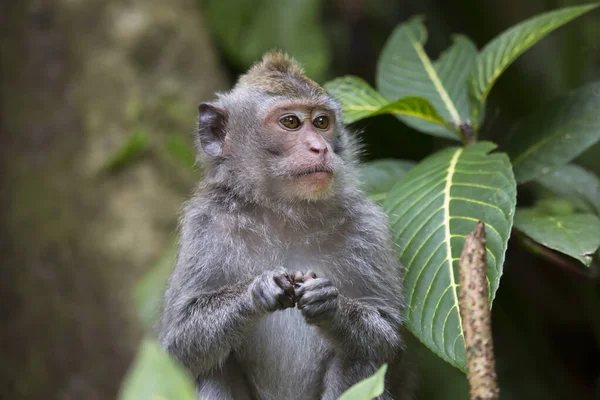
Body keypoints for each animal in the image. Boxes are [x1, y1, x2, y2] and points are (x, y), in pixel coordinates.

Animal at [158, 50, 412, 400]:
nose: (320, 147)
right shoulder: (206, 225)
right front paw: (256, 291)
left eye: (321, 122)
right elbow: (177, 348)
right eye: (290, 122)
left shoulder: (368, 225)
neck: (286, 214)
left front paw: (331, 303)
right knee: (211, 369)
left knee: (360, 359)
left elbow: (387, 340)